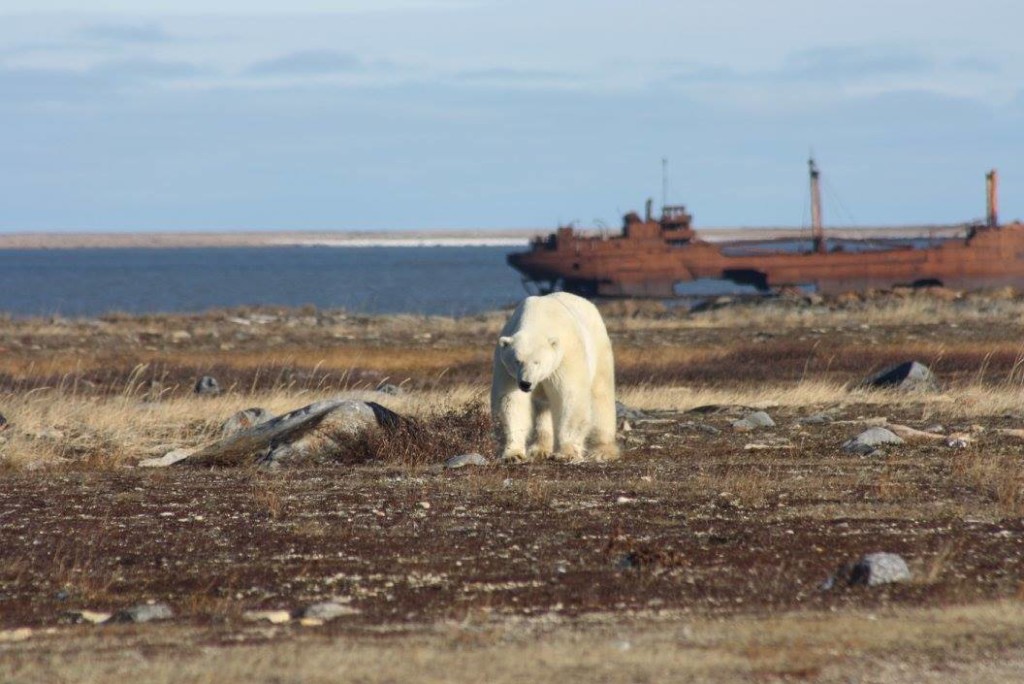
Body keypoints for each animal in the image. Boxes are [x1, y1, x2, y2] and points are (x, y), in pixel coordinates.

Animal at [491, 292, 619, 464]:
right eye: (517, 361)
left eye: (537, 362)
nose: (525, 383)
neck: (538, 316)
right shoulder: (506, 367)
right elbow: (511, 400)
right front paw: (513, 454)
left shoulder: (565, 356)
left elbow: (570, 396)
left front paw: (566, 453)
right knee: (544, 408)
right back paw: (539, 449)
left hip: (599, 348)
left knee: (601, 396)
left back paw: (603, 451)